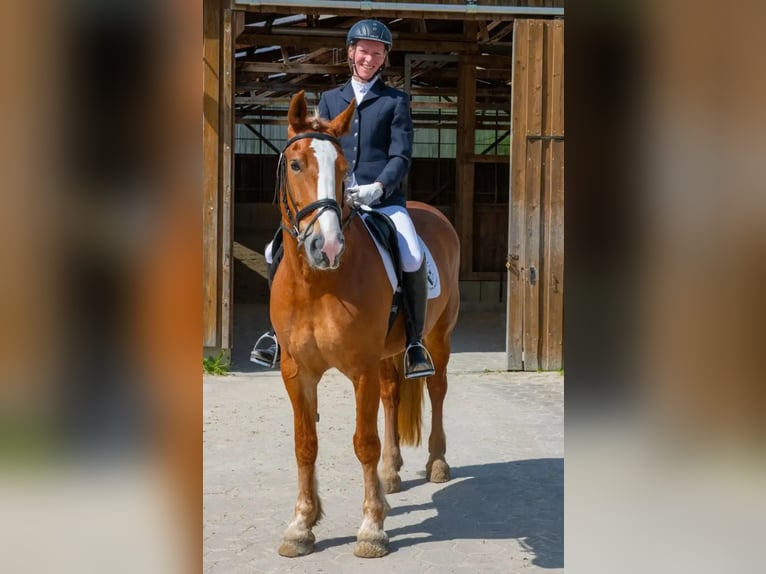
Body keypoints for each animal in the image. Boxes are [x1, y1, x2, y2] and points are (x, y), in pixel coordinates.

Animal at [272, 91, 462, 564]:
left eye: (344, 169)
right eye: (296, 164)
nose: (326, 247)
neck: (317, 283)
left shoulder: (360, 369)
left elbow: (364, 443)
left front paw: (372, 528)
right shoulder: (296, 371)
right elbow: (305, 443)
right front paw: (301, 526)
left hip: (438, 338)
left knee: (437, 389)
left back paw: (435, 464)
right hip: (390, 353)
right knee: (393, 396)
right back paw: (391, 475)